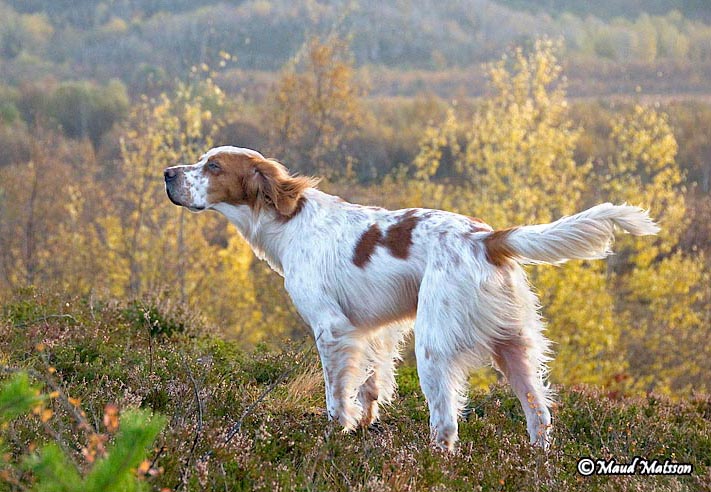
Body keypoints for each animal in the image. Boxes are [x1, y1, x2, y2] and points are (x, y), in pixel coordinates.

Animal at [164, 145, 660, 450]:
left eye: (213, 167)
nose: (168, 173)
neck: (290, 222)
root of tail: (489, 238)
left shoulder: (332, 329)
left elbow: (336, 396)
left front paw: (335, 436)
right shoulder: (374, 329)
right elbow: (370, 384)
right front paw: (364, 423)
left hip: (434, 347)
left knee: (446, 423)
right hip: (514, 347)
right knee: (540, 415)